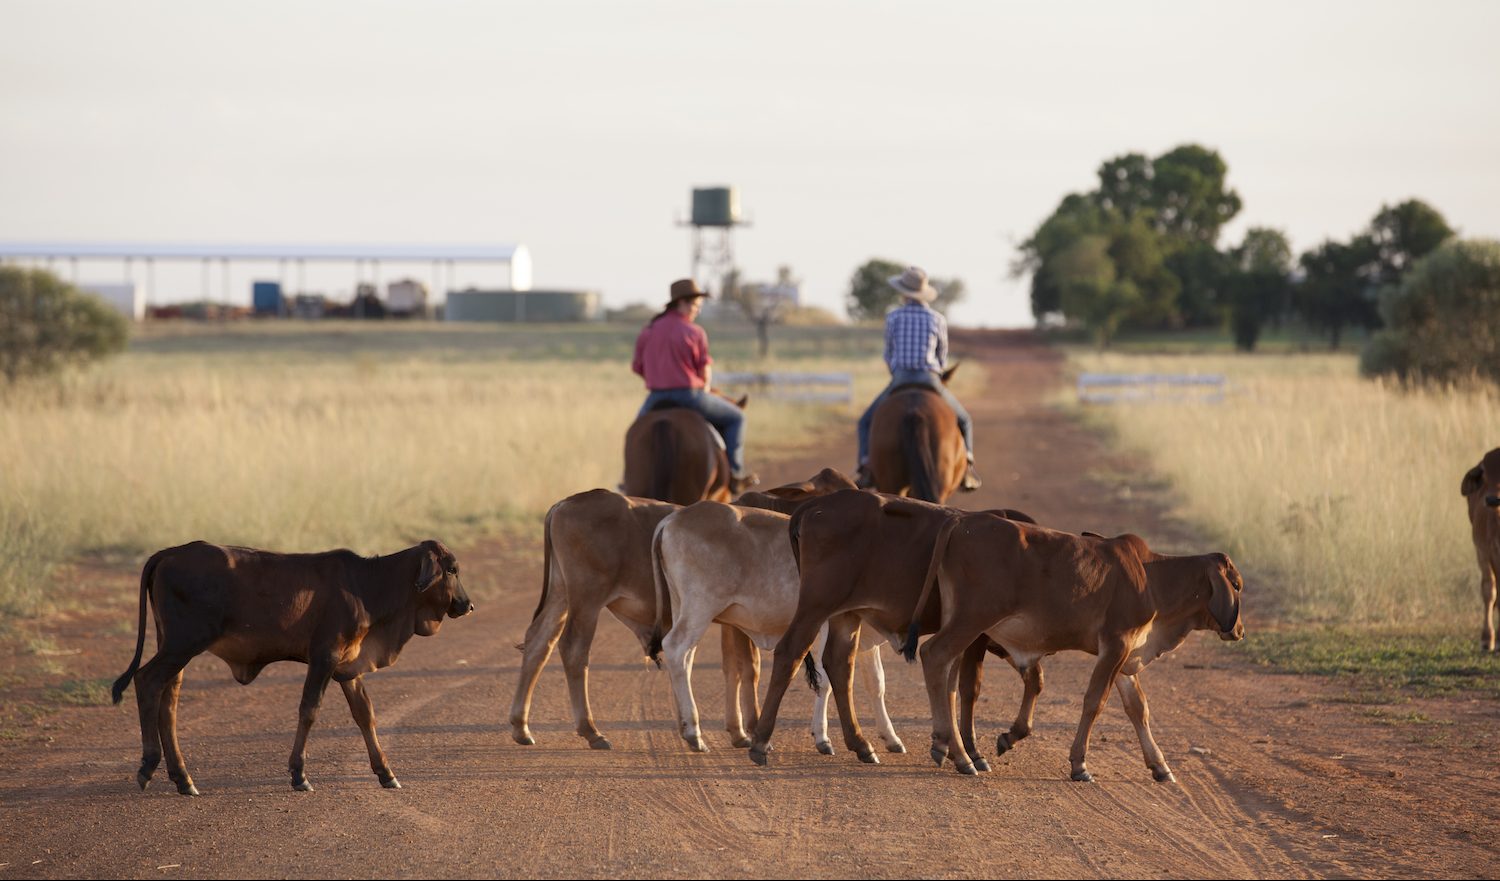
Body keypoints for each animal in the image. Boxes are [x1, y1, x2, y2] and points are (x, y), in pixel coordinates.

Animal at [110, 540, 471, 798]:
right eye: (452, 570)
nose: (467, 605)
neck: (367, 587)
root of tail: (169, 553)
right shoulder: (324, 656)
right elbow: (309, 710)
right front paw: (299, 774)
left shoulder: (347, 666)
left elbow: (364, 714)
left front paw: (386, 773)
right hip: (184, 642)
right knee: (146, 680)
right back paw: (149, 766)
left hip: (175, 646)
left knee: (168, 699)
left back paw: (183, 778)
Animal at [900, 513, 1242, 780]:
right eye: (1237, 585)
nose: (1239, 630)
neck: (1152, 579)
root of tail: (963, 521)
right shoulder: (1116, 644)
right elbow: (1095, 702)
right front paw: (1079, 764)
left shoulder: (1126, 654)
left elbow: (1138, 708)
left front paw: (1159, 765)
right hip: (973, 618)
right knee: (933, 655)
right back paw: (953, 751)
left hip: (961, 623)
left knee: (949, 681)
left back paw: (956, 750)